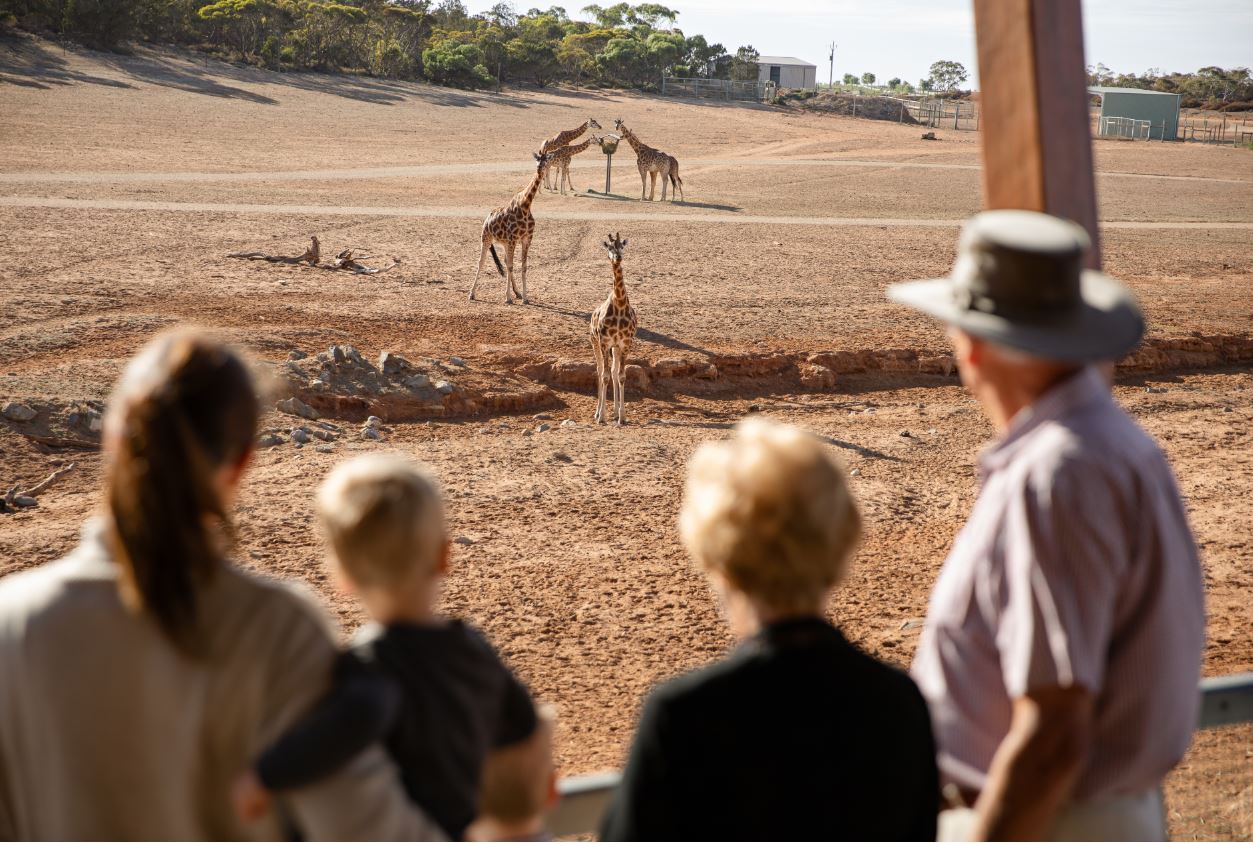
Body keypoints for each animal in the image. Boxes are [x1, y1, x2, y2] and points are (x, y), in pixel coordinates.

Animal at [468, 149, 551, 304]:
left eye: (546, 160)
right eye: (537, 159)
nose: (539, 169)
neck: (526, 206)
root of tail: (487, 218)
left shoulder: (526, 239)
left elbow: (523, 267)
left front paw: (524, 297)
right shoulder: (513, 239)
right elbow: (512, 266)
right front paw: (507, 298)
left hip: (505, 243)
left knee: (506, 262)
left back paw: (517, 293)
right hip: (486, 238)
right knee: (481, 262)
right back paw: (472, 294)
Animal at [591, 231, 641, 423]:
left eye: (622, 246)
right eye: (610, 247)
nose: (618, 257)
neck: (619, 304)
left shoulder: (625, 344)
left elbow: (621, 376)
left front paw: (622, 417)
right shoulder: (604, 342)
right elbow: (604, 376)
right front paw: (601, 417)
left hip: (615, 348)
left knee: (612, 371)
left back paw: (614, 412)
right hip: (594, 342)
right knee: (599, 371)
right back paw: (598, 413)